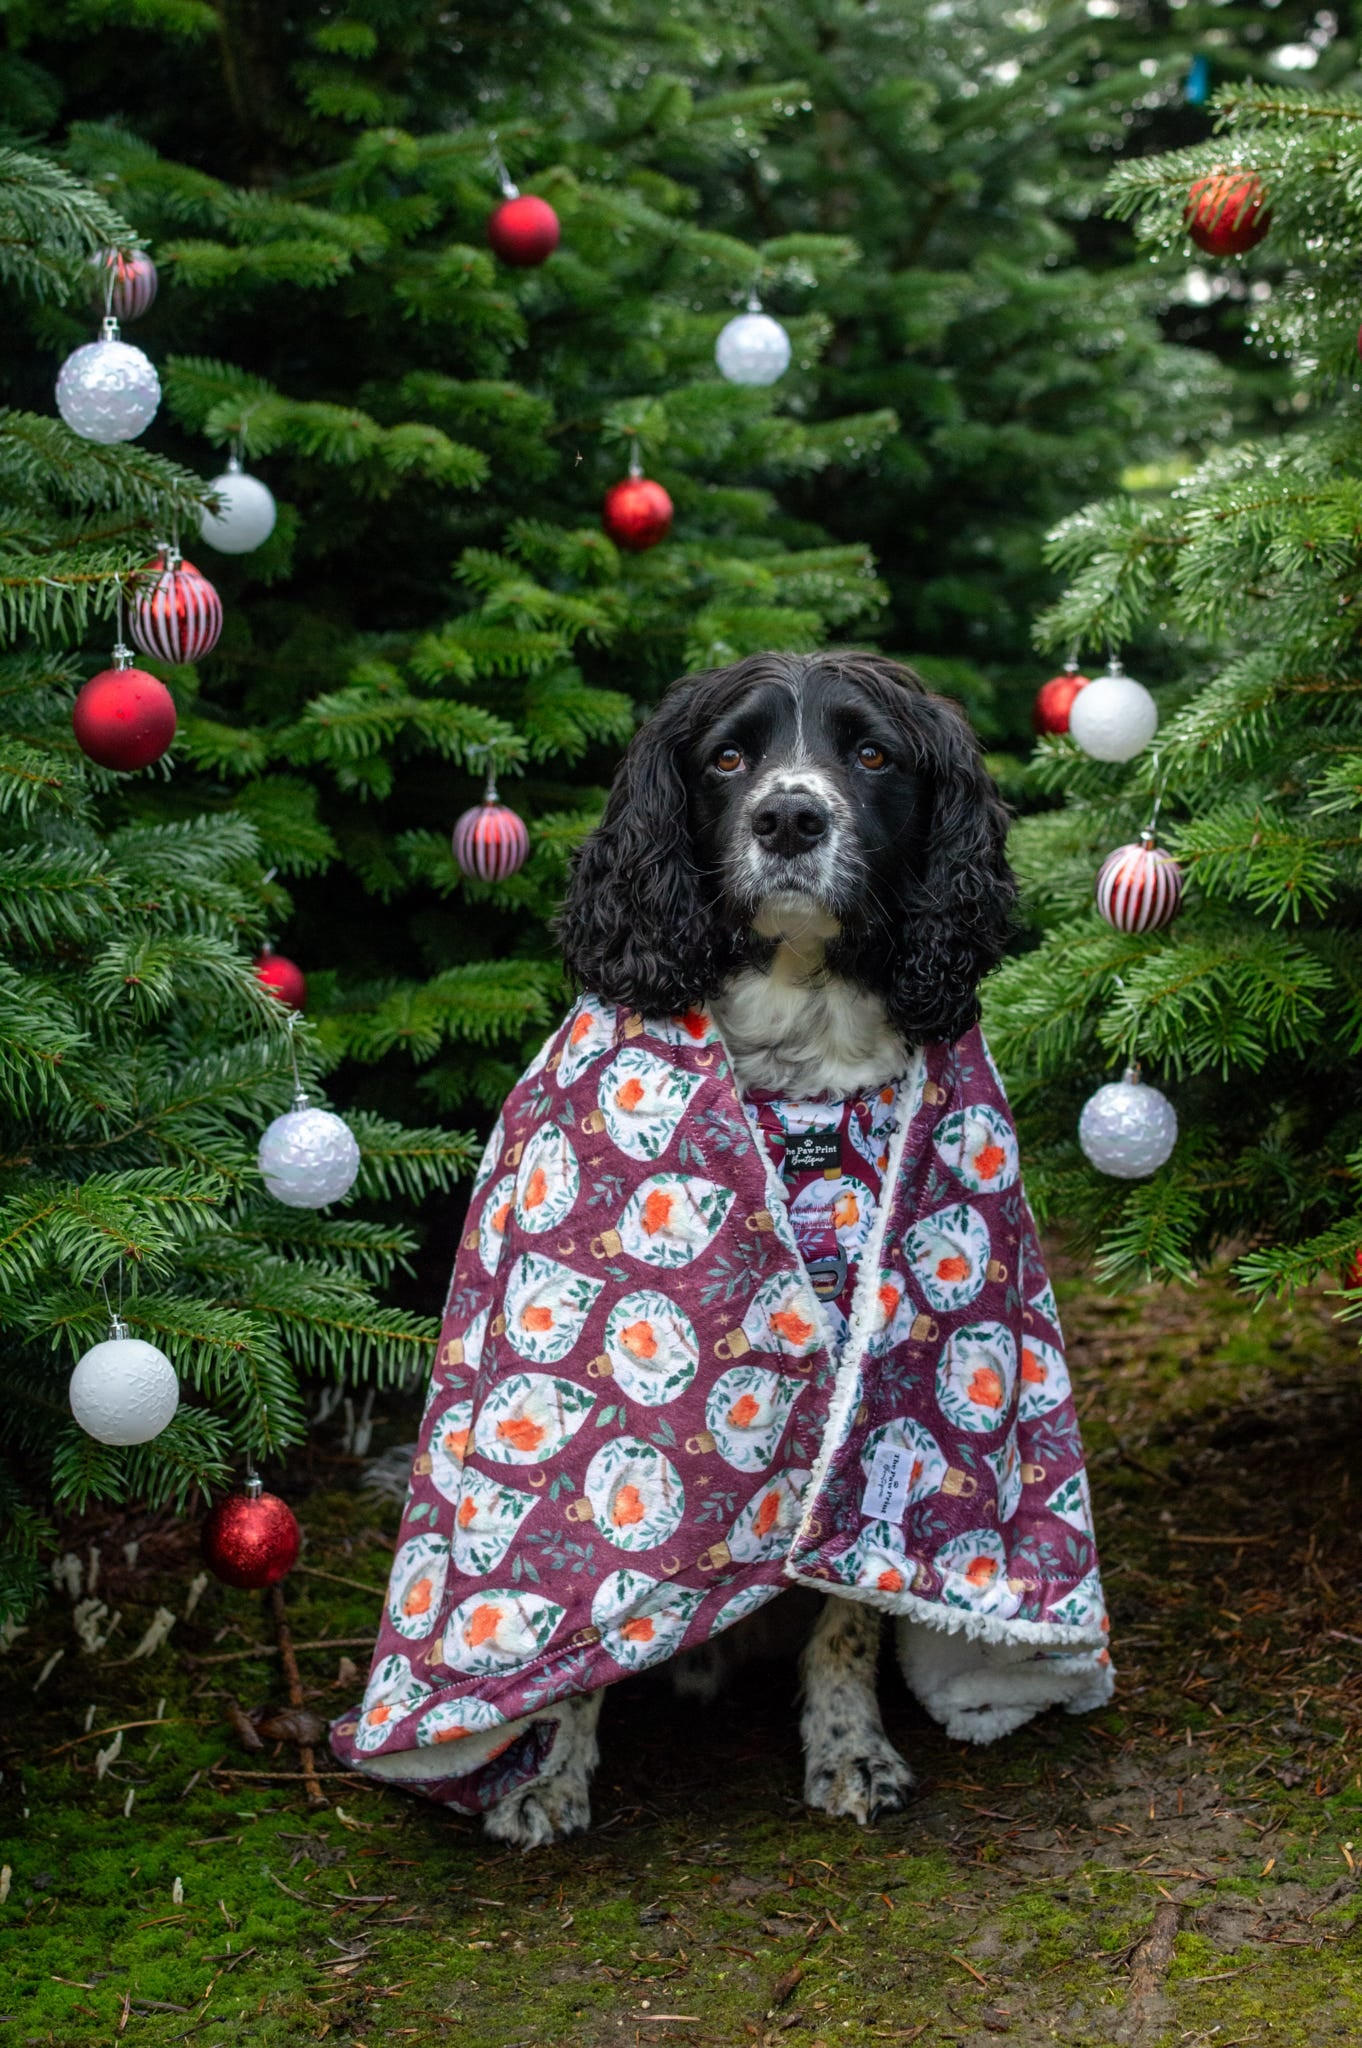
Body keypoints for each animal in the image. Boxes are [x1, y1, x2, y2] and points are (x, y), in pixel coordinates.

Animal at [473, 647, 1015, 1851]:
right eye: (728, 756)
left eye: (873, 753)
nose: (791, 817)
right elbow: (575, 1620)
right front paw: (548, 1771)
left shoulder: (874, 1381)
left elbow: (850, 1600)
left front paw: (851, 1750)